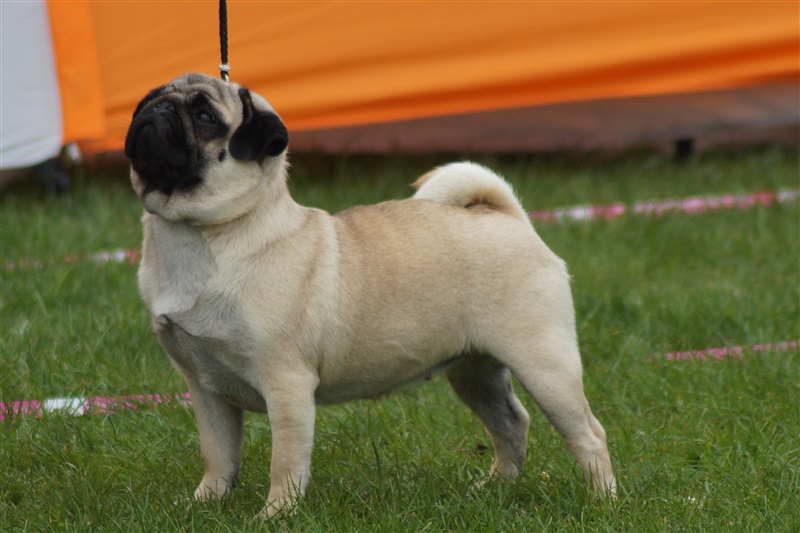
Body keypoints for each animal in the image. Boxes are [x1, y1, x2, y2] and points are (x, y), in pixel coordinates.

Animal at [125, 72, 616, 517]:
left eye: (205, 116)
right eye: (148, 99)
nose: (159, 108)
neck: (199, 236)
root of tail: (508, 217)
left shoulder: (287, 385)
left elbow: (285, 462)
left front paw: (276, 514)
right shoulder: (205, 387)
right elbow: (218, 455)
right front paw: (204, 503)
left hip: (544, 364)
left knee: (589, 434)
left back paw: (603, 501)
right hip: (475, 371)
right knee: (511, 423)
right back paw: (494, 489)